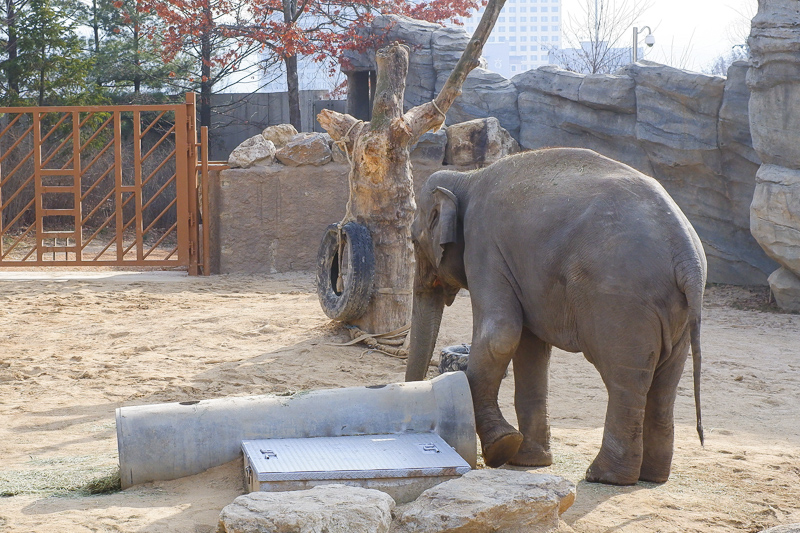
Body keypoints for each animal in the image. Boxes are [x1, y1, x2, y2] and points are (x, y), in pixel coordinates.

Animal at [406, 148, 708, 484]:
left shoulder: (484, 245)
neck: (467, 178)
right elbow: (530, 347)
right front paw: (528, 460)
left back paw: (604, 476)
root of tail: (688, 255)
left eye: (413, 241)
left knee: (626, 379)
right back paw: (651, 477)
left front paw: (502, 447)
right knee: (664, 384)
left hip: (621, 303)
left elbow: (500, 333)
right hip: (678, 313)